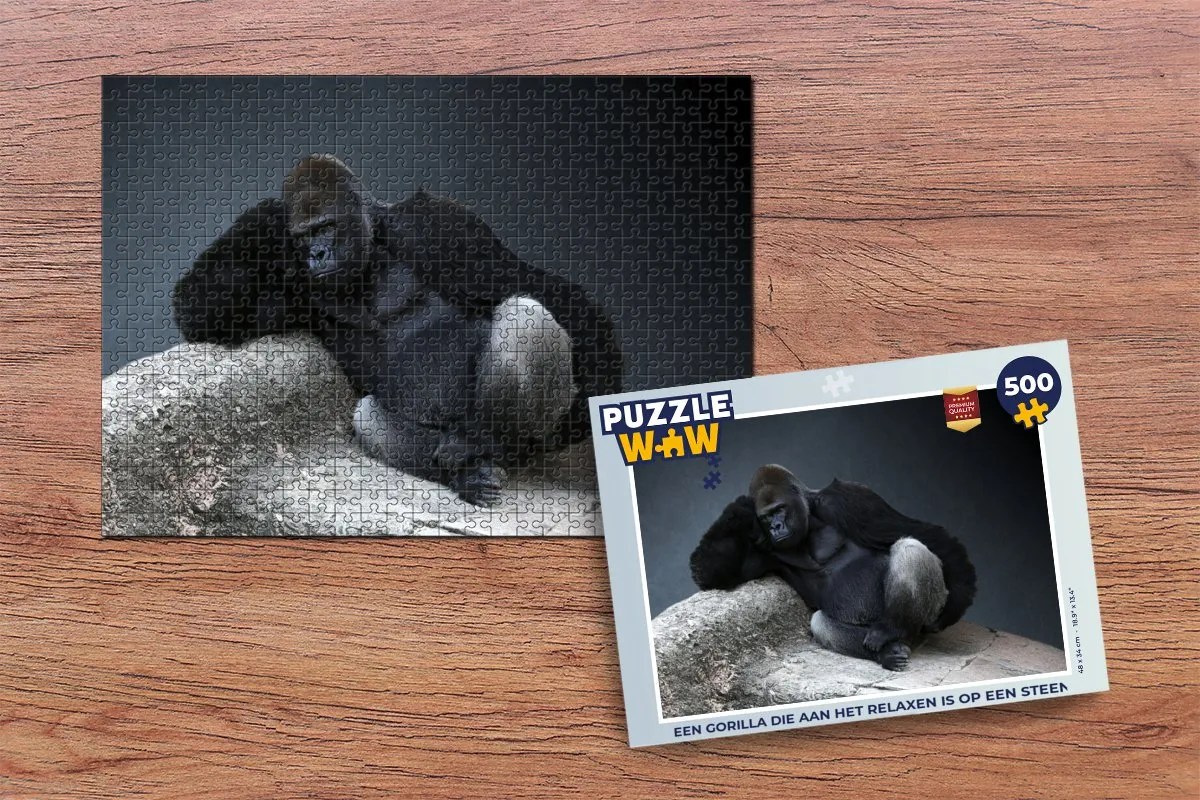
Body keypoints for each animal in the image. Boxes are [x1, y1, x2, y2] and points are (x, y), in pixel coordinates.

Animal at [690, 465, 976, 670]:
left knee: (910, 546)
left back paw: (893, 628)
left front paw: (958, 600)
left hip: (918, 627)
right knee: (820, 623)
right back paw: (888, 653)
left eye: (780, 510)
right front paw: (739, 508)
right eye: (766, 517)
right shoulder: (761, 543)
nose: (776, 527)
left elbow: (924, 533)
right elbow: (713, 572)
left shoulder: (849, 498)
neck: (809, 513)